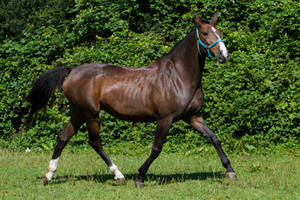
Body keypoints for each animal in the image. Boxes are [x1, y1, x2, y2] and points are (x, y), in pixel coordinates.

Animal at [26, 14, 237, 188]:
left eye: (219, 32)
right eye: (205, 33)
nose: (223, 55)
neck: (178, 75)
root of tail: (72, 71)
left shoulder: (193, 117)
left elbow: (214, 138)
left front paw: (230, 171)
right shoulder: (165, 119)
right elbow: (156, 148)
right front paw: (140, 177)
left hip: (78, 113)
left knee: (62, 137)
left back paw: (48, 176)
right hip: (91, 114)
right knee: (94, 142)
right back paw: (119, 176)